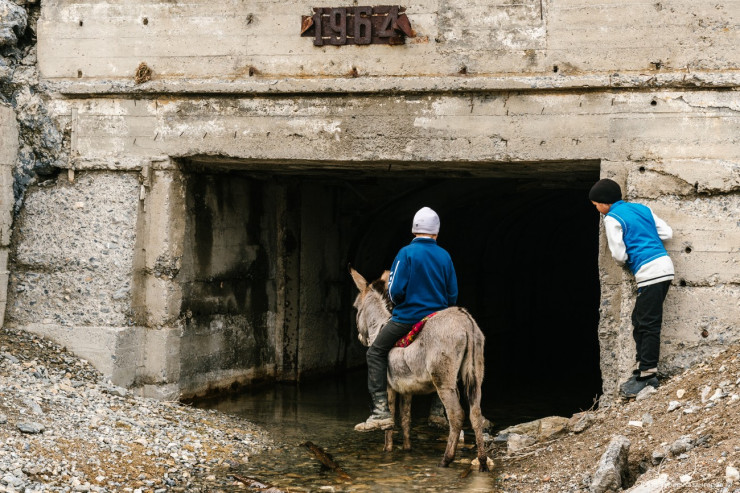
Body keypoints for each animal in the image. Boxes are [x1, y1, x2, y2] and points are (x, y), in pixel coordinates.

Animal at [350, 267, 489, 471]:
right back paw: (482, 462)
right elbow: (406, 419)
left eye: (355, 307)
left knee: (456, 415)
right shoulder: (406, 389)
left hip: (443, 380)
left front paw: (387, 450)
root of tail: (465, 320)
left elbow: (390, 419)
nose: (360, 337)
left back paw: (446, 460)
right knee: (476, 413)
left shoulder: (388, 386)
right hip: (475, 375)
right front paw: (407, 449)